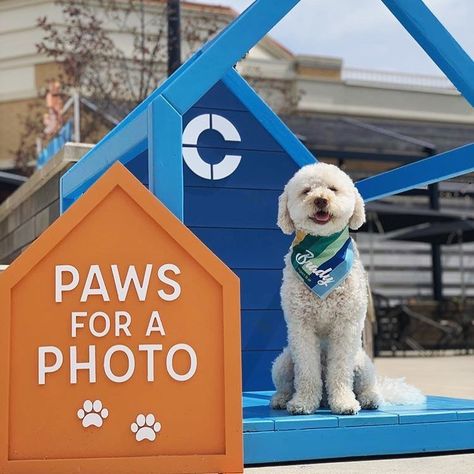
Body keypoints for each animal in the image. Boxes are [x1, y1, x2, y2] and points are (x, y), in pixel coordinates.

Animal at [272, 163, 424, 414]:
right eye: (306, 191)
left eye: (333, 189)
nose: (321, 200)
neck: (323, 253)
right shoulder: (301, 326)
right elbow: (307, 372)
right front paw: (303, 403)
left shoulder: (346, 326)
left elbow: (341, 372)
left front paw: (343, 402)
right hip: (284, 362)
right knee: (285, 384)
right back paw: (283, 399)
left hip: (362, 363)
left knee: (367, 386)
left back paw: (369, 399)